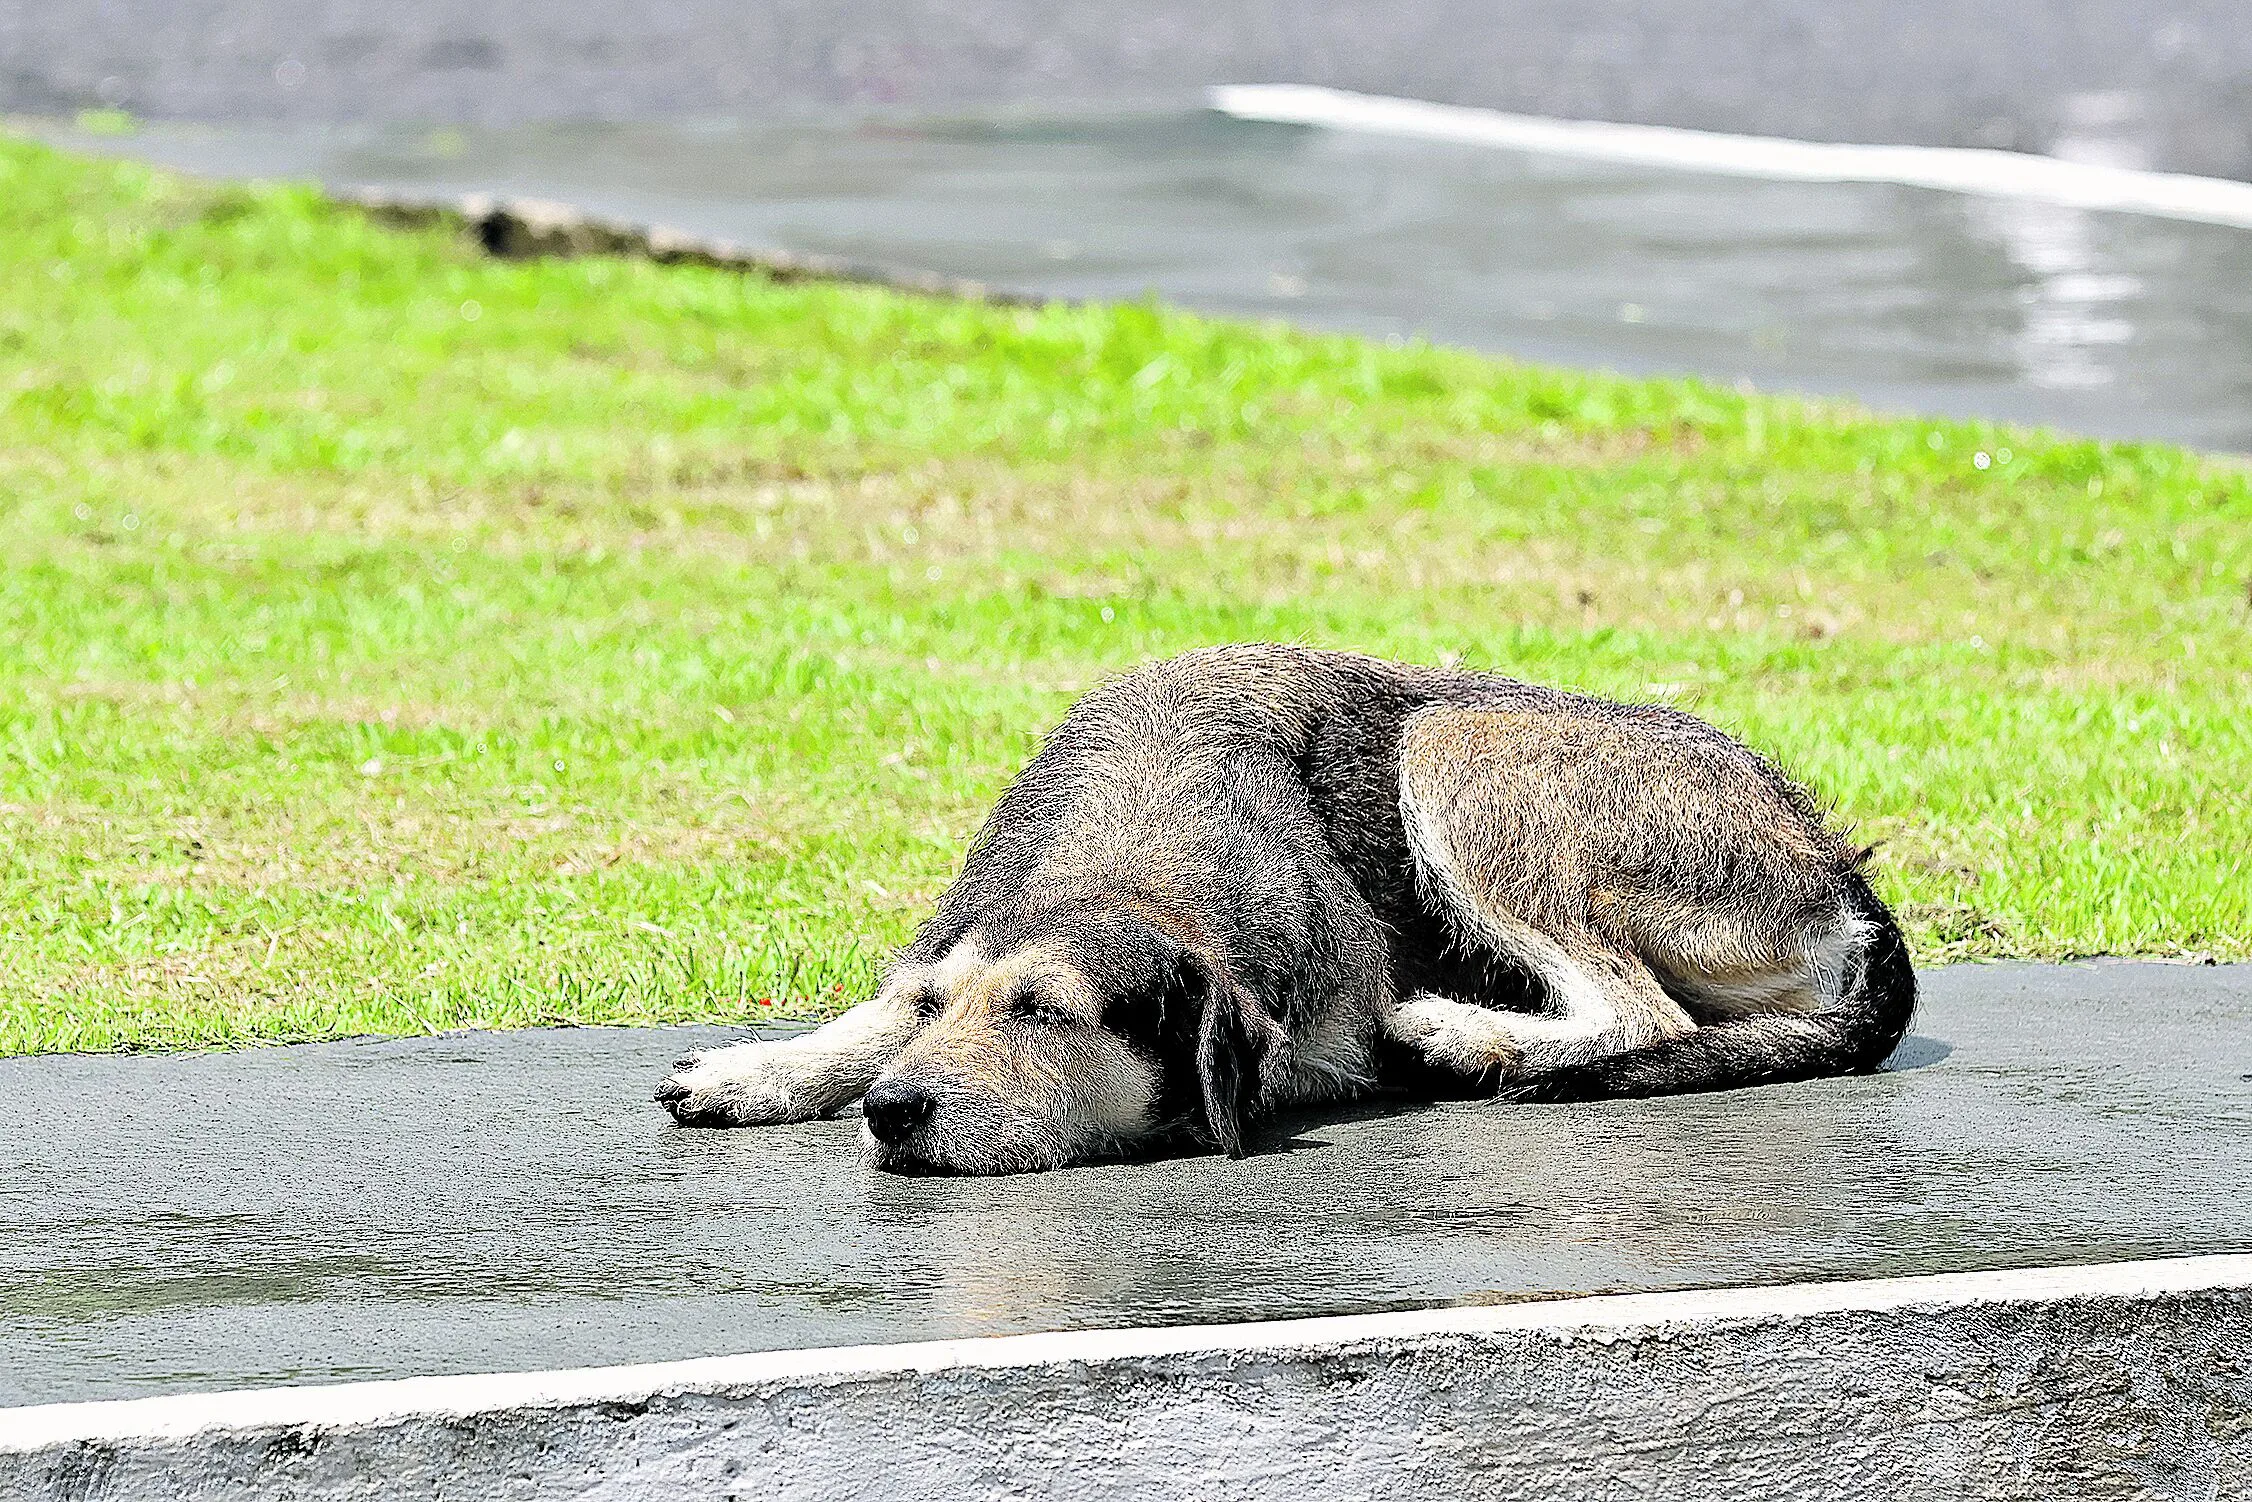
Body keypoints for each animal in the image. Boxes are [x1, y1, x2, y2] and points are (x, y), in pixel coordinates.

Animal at [657, 648, 1918, 1170]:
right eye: (936, 1008)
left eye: (1045, 1014)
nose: (894, 1109)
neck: (1126, 849)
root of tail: (1841, 872)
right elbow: (864, 1017)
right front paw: (758, 1070)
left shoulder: (1313, 1031)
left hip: (1457, 746)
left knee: (1644, 1016)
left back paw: (1468, 1034)